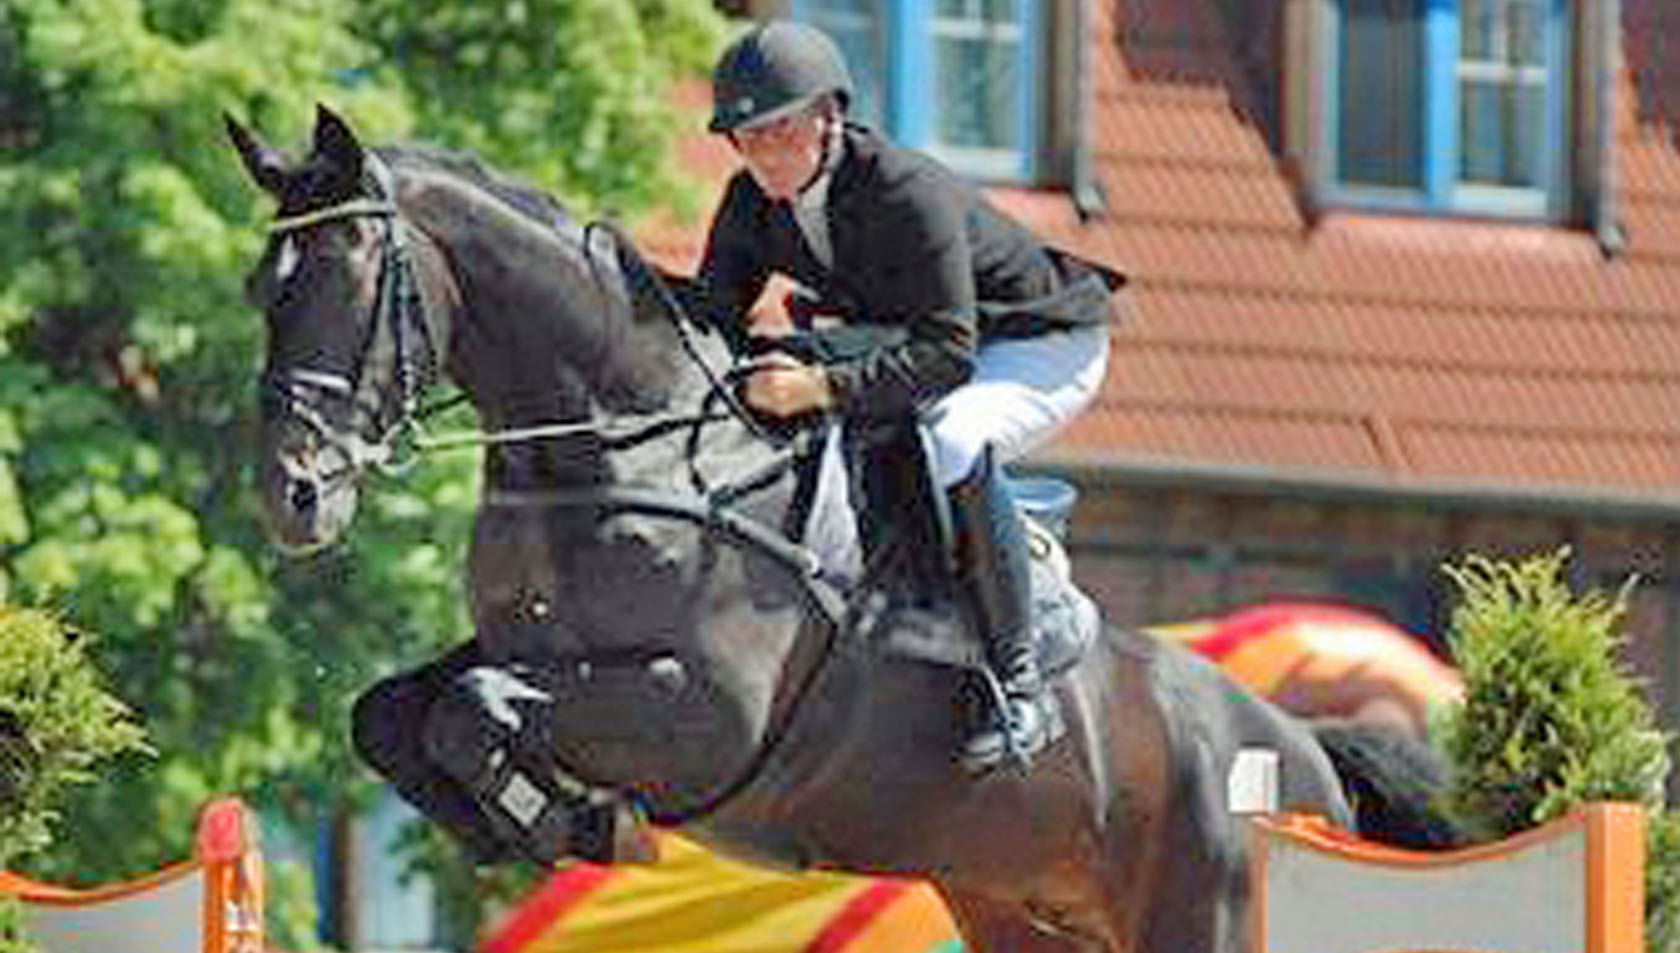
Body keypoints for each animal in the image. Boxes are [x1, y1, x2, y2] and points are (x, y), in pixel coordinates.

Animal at [227, 104, 1460, 953]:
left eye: (348, 277)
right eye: (259, 288)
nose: (294, 495)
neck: (623, 442)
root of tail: (1305, 753)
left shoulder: (703, 709)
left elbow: (473, 706)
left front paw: (561, 812)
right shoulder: (536, 651)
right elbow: (397, 714)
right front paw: (529, 813)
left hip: (1206, 903)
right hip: (1022, 911)